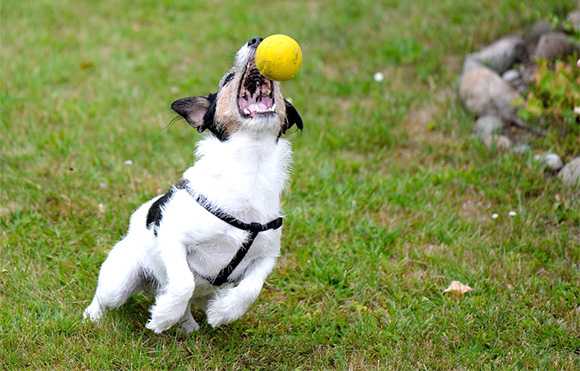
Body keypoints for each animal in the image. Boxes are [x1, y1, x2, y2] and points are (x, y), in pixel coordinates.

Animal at [85, 37, 304, 334]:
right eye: (228, 79)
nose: (257, 40)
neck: (251, 168)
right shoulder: (172, 237)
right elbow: (183, 281)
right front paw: (162, 316)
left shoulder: (267, 256)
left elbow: (251, 288)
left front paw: (224, 312)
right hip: (119, 281)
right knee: (106, 296)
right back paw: (94, 316)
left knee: (191, 300)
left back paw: (188, 323)